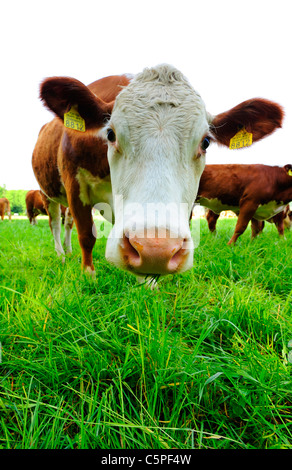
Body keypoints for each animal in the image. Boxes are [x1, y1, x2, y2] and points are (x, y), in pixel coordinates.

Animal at [32, 64, 282, 280]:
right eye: (110, 134)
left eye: (206, 142)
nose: (155, 249)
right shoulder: (75, 185)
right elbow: (86, 234)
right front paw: (88, 276)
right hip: (48, 193)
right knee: (56, 223)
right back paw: (61, 254)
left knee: (66, 223)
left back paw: (67, 250)